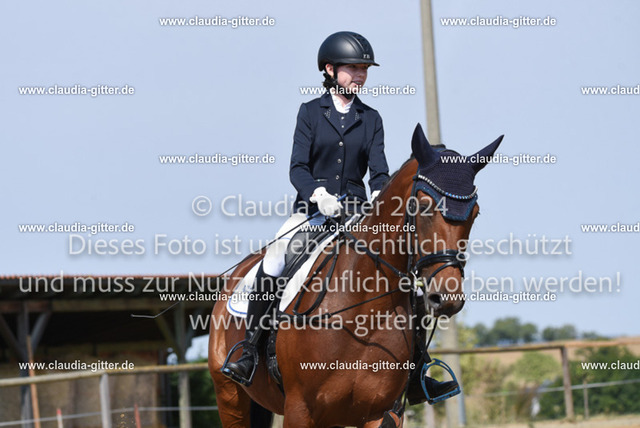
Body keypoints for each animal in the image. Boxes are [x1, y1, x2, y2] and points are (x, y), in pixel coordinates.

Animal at [208, 124, 503, 427]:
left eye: (475, 213)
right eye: (423, 206)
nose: (447, 298)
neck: (364, 312)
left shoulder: (383, 412)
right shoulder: (299, 410)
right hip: (230, 395)